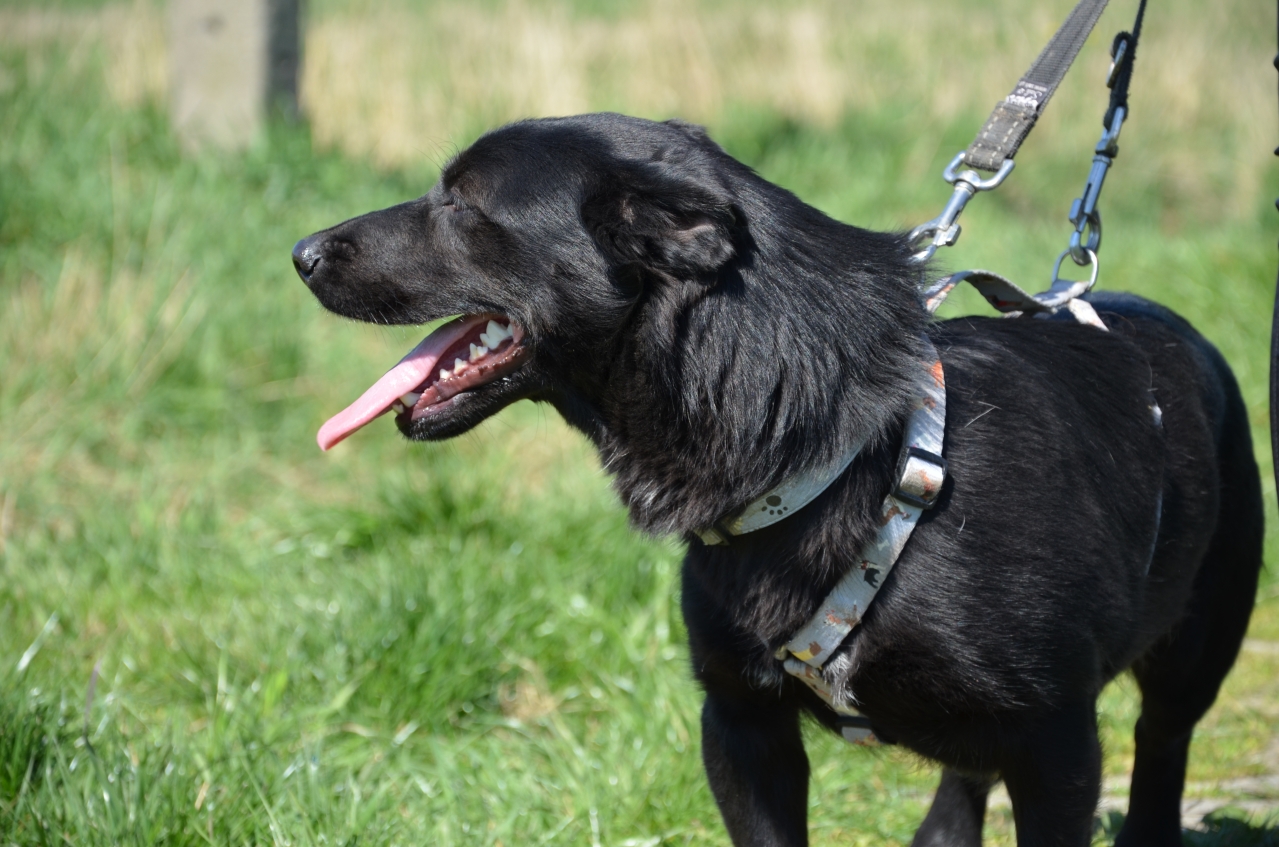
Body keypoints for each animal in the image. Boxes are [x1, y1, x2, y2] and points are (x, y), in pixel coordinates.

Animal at [291, 113, 1263, 847]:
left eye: (460, 202)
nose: (300, 251)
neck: (835, 445)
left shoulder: (1057, 743)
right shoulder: (741, 723)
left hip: (1194, 654)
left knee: (1159, 749)